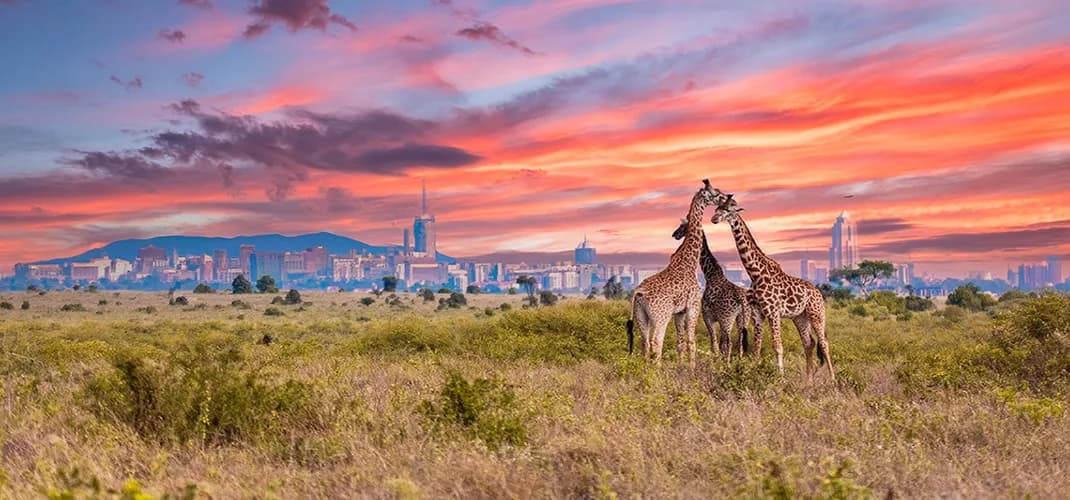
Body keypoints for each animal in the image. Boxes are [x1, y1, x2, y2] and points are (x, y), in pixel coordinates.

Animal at [626, 180, 723, 367]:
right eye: (715, 193)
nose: (725, 198)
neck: (689, 261)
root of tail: (639, 292)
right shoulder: (693, 306)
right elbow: (691, 342)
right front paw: (692, 370)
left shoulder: (679, 312)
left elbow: (680, 342)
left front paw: (681, 367)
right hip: (661, 316)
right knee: (657, 342)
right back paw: (657, 372)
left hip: (641, 315)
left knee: (645, 342)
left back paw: (646, 371)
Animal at [670, 219, 752, 360]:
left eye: (682, 226)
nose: (674, 234)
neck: (710, 275)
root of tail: (741, 299)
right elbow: (719, 344)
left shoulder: (708, 317)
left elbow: (714, 344)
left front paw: (716, 361)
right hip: (743, 318)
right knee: (740, 343)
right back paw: (740, 361)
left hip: (727, 319)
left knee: (729, 343)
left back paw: (728, 363)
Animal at [710, 198, 835, 381]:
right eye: (716, 208)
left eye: (728, 210)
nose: (714, 219)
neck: (755, 273)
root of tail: (818, 293)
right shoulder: (757, 313)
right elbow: (756, 347)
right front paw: (751, 372)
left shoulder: (773, 312)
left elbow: (778, 346)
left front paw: (780, 378)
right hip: (800, 317)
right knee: (809, 343)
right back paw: (808, 380)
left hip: (816, 313)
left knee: (824, 343)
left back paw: (832, 379)